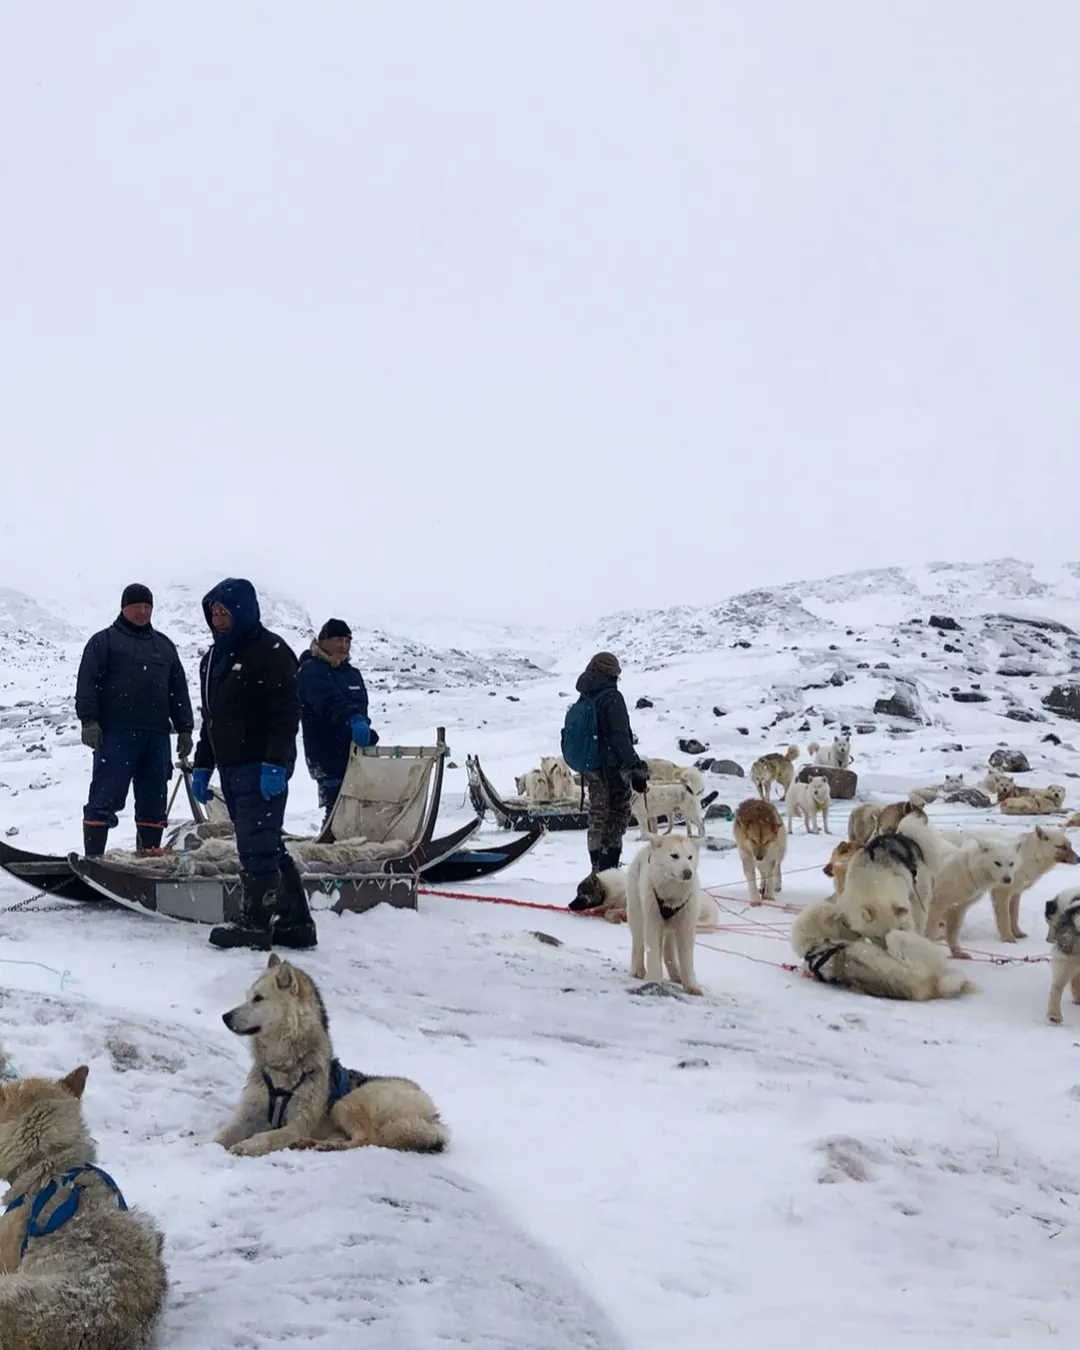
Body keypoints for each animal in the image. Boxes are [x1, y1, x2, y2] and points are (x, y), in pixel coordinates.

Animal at [218, 955, 448, 1155]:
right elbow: (221, 1135)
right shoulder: (247, 1115)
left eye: (258, 998)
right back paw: (310, 1143)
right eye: (247, 997)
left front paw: (245, 1146)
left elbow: (267, 1137)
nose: (224, 1017)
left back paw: (324, 1145)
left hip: (347, 1103)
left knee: (367, 1139)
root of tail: (433, 1118)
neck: (283, 1067)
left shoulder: (298, 1124)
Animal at [629, 826, 712, 999]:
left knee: (668, 948)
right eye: (674, 855)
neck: (672, 895)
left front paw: (692, 986)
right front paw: (654, 979)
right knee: (638, 941)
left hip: (672, 926)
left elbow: (686, 954)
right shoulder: (653, 916)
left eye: (690, 857)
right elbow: (653, 948)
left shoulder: (687, 919)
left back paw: (676, 974)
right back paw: (638, 970)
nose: (688, 872)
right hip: (637, 909)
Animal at [934, 820, 1080, 939]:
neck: (1027, 856)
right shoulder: (1001, 893)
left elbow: (1014, 916)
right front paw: (1008, 938)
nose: (1078, 859)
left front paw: (1018, 934)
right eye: (1061, 846)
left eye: (1070, 845)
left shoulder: (1015, 894)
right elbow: (1005, 918)